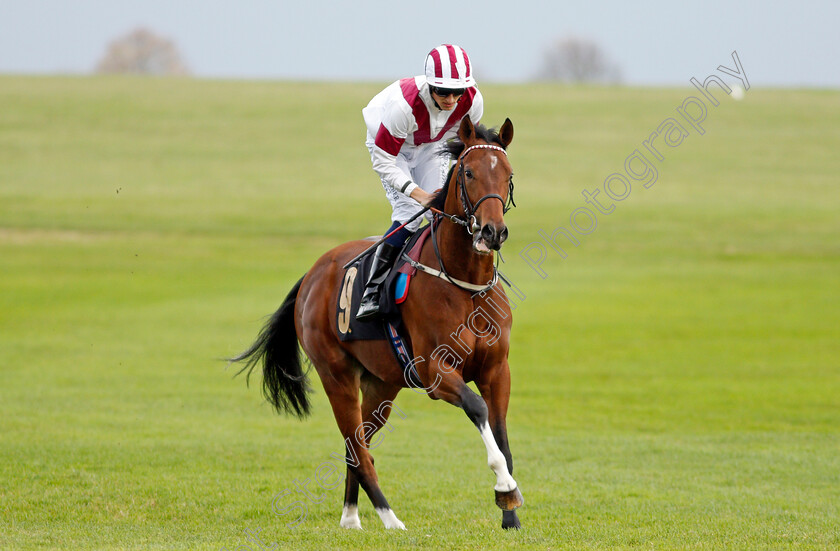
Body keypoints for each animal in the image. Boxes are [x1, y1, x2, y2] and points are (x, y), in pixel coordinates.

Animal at [235, 115, 524, 532]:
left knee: (360, 445)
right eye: (468, 172)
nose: (492, 231)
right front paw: (505, 487)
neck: (463, 284)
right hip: (336, 375)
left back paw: (351, 516)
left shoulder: (497, 370)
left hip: (382, 384)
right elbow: (477, 410)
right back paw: (389, 518)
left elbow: (501, 433)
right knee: (356, 445)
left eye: (508, 174)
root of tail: (312, 274)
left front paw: (510, 514)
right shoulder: (434, 370)